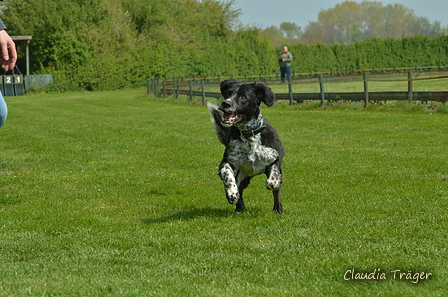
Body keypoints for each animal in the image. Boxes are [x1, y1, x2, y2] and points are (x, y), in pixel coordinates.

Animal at [209, 78, 286, 213]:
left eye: (243, 97)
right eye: (228, 93)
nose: (225, 103)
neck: (248, 136)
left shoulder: (278, 153)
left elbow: (273, 178)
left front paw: (273, 182)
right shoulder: (227, 161)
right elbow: (227, 173)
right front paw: (232, 193)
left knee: (276, 192)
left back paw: (277, 209)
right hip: (242, 177)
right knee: (239, 189)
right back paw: (239, 208)